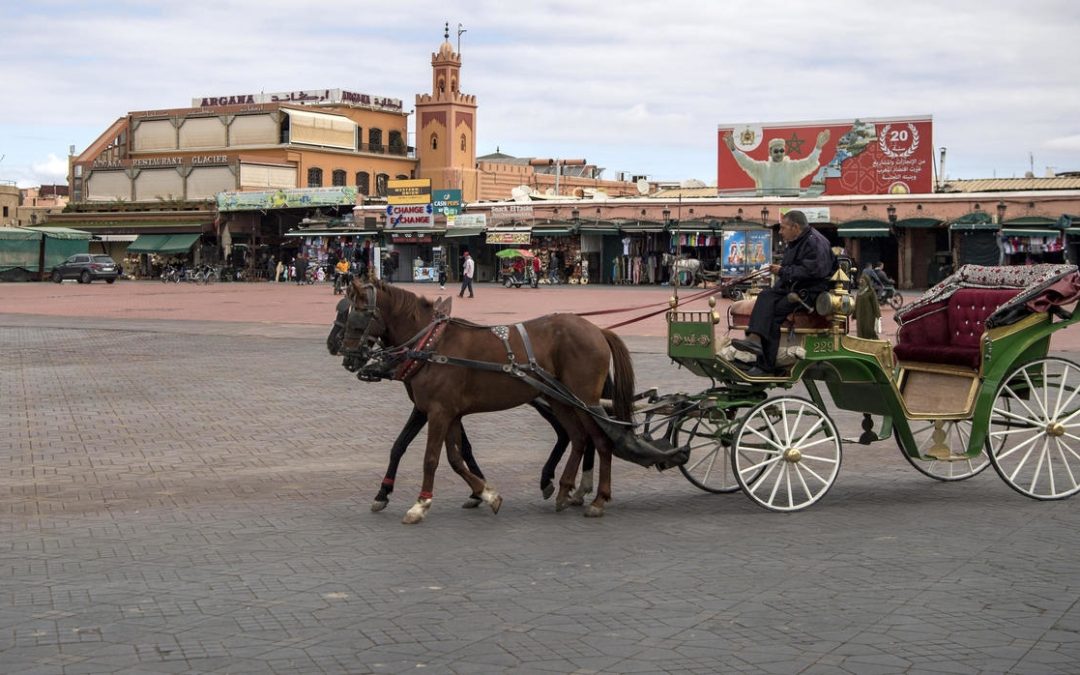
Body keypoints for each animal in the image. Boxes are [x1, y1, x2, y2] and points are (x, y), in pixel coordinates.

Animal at [341, 276, 635, 524]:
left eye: (358, 312)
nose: (346, 356)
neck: (432, 344)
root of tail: (598, 330)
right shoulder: (449, 413)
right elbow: (455, 458)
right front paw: (486, 494)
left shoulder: (438, 411)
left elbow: (431, 458)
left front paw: (420, 504)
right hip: (562, 400)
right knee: (578, 439)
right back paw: (565, 491)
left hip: (585, 400)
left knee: (601, 442)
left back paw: (598, 499)